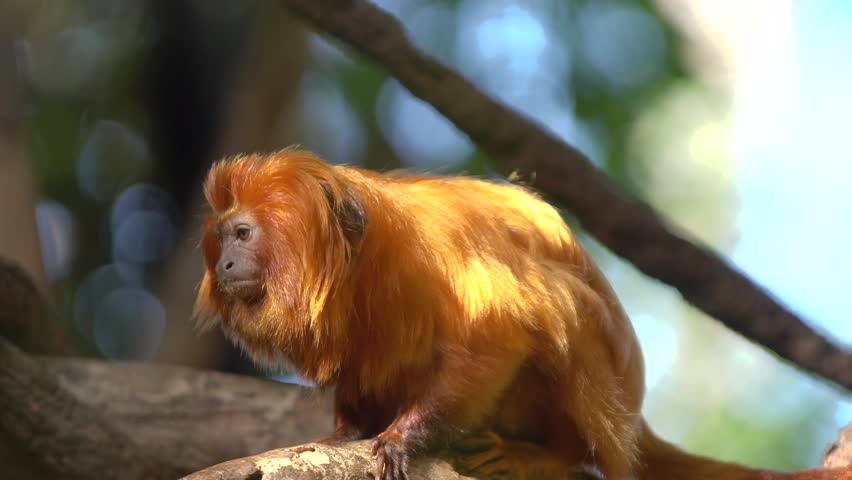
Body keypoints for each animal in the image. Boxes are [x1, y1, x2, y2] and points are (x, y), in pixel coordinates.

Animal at [194, 148, 852, 480]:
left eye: (243, 235)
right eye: (223, 238)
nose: (225, 264)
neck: (367, 260)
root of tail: (633, 414)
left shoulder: (441, 255)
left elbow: (502, 335)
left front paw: (404, 436)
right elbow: (359, 371)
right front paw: (346, 433)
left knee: (564, 308)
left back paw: (547, 456)